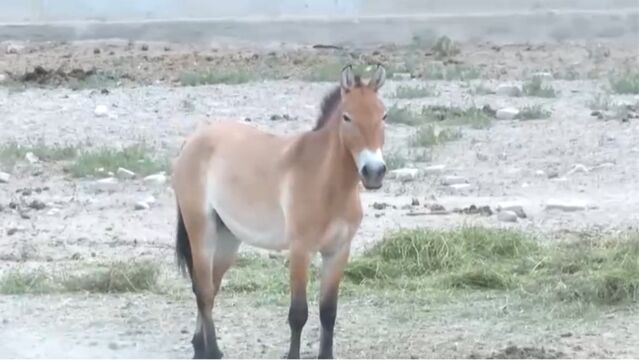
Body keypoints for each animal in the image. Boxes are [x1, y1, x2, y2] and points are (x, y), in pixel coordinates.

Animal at [172, 63, 388, 358]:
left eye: (384, 115)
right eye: (347, 117)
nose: (374, 172)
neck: (325, 179)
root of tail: (192, 140)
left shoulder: (338, 251)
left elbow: (328, 312)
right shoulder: (300, 250)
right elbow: (298, 314)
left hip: (227, 238)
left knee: (210, 288)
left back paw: (199, 347)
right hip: (201, 229)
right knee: (203, 290)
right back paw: (213, 351)